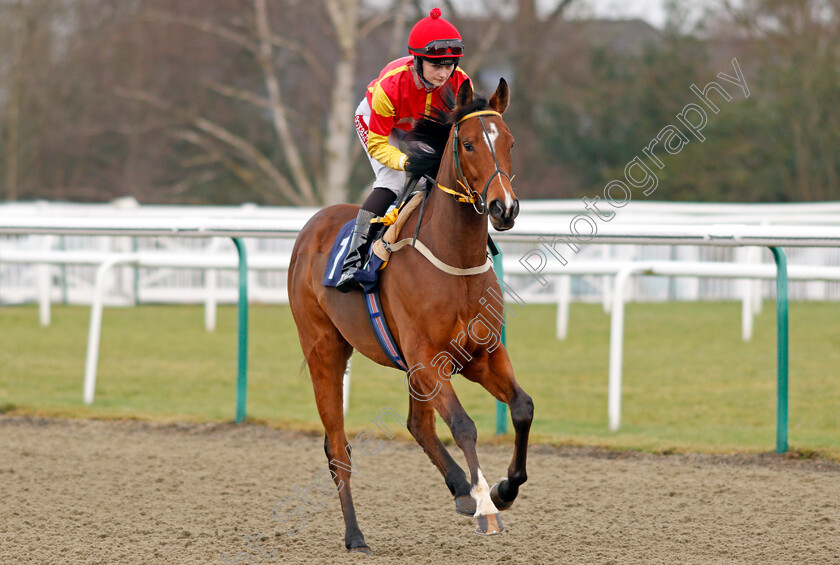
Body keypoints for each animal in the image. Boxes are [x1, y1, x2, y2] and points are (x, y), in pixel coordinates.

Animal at [288, 79, 532, 556]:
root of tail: (314, 223)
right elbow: (464, 425)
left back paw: (459, 488)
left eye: (510, 142)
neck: (455, 261)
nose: (504, 209)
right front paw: (486, 508)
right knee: (338, 448)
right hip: (324, 350)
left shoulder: (481, 355)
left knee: (417, 424)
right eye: (469, 144)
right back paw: (356, 536)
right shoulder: (426, 358)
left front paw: (503, 490)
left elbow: (522, 408)